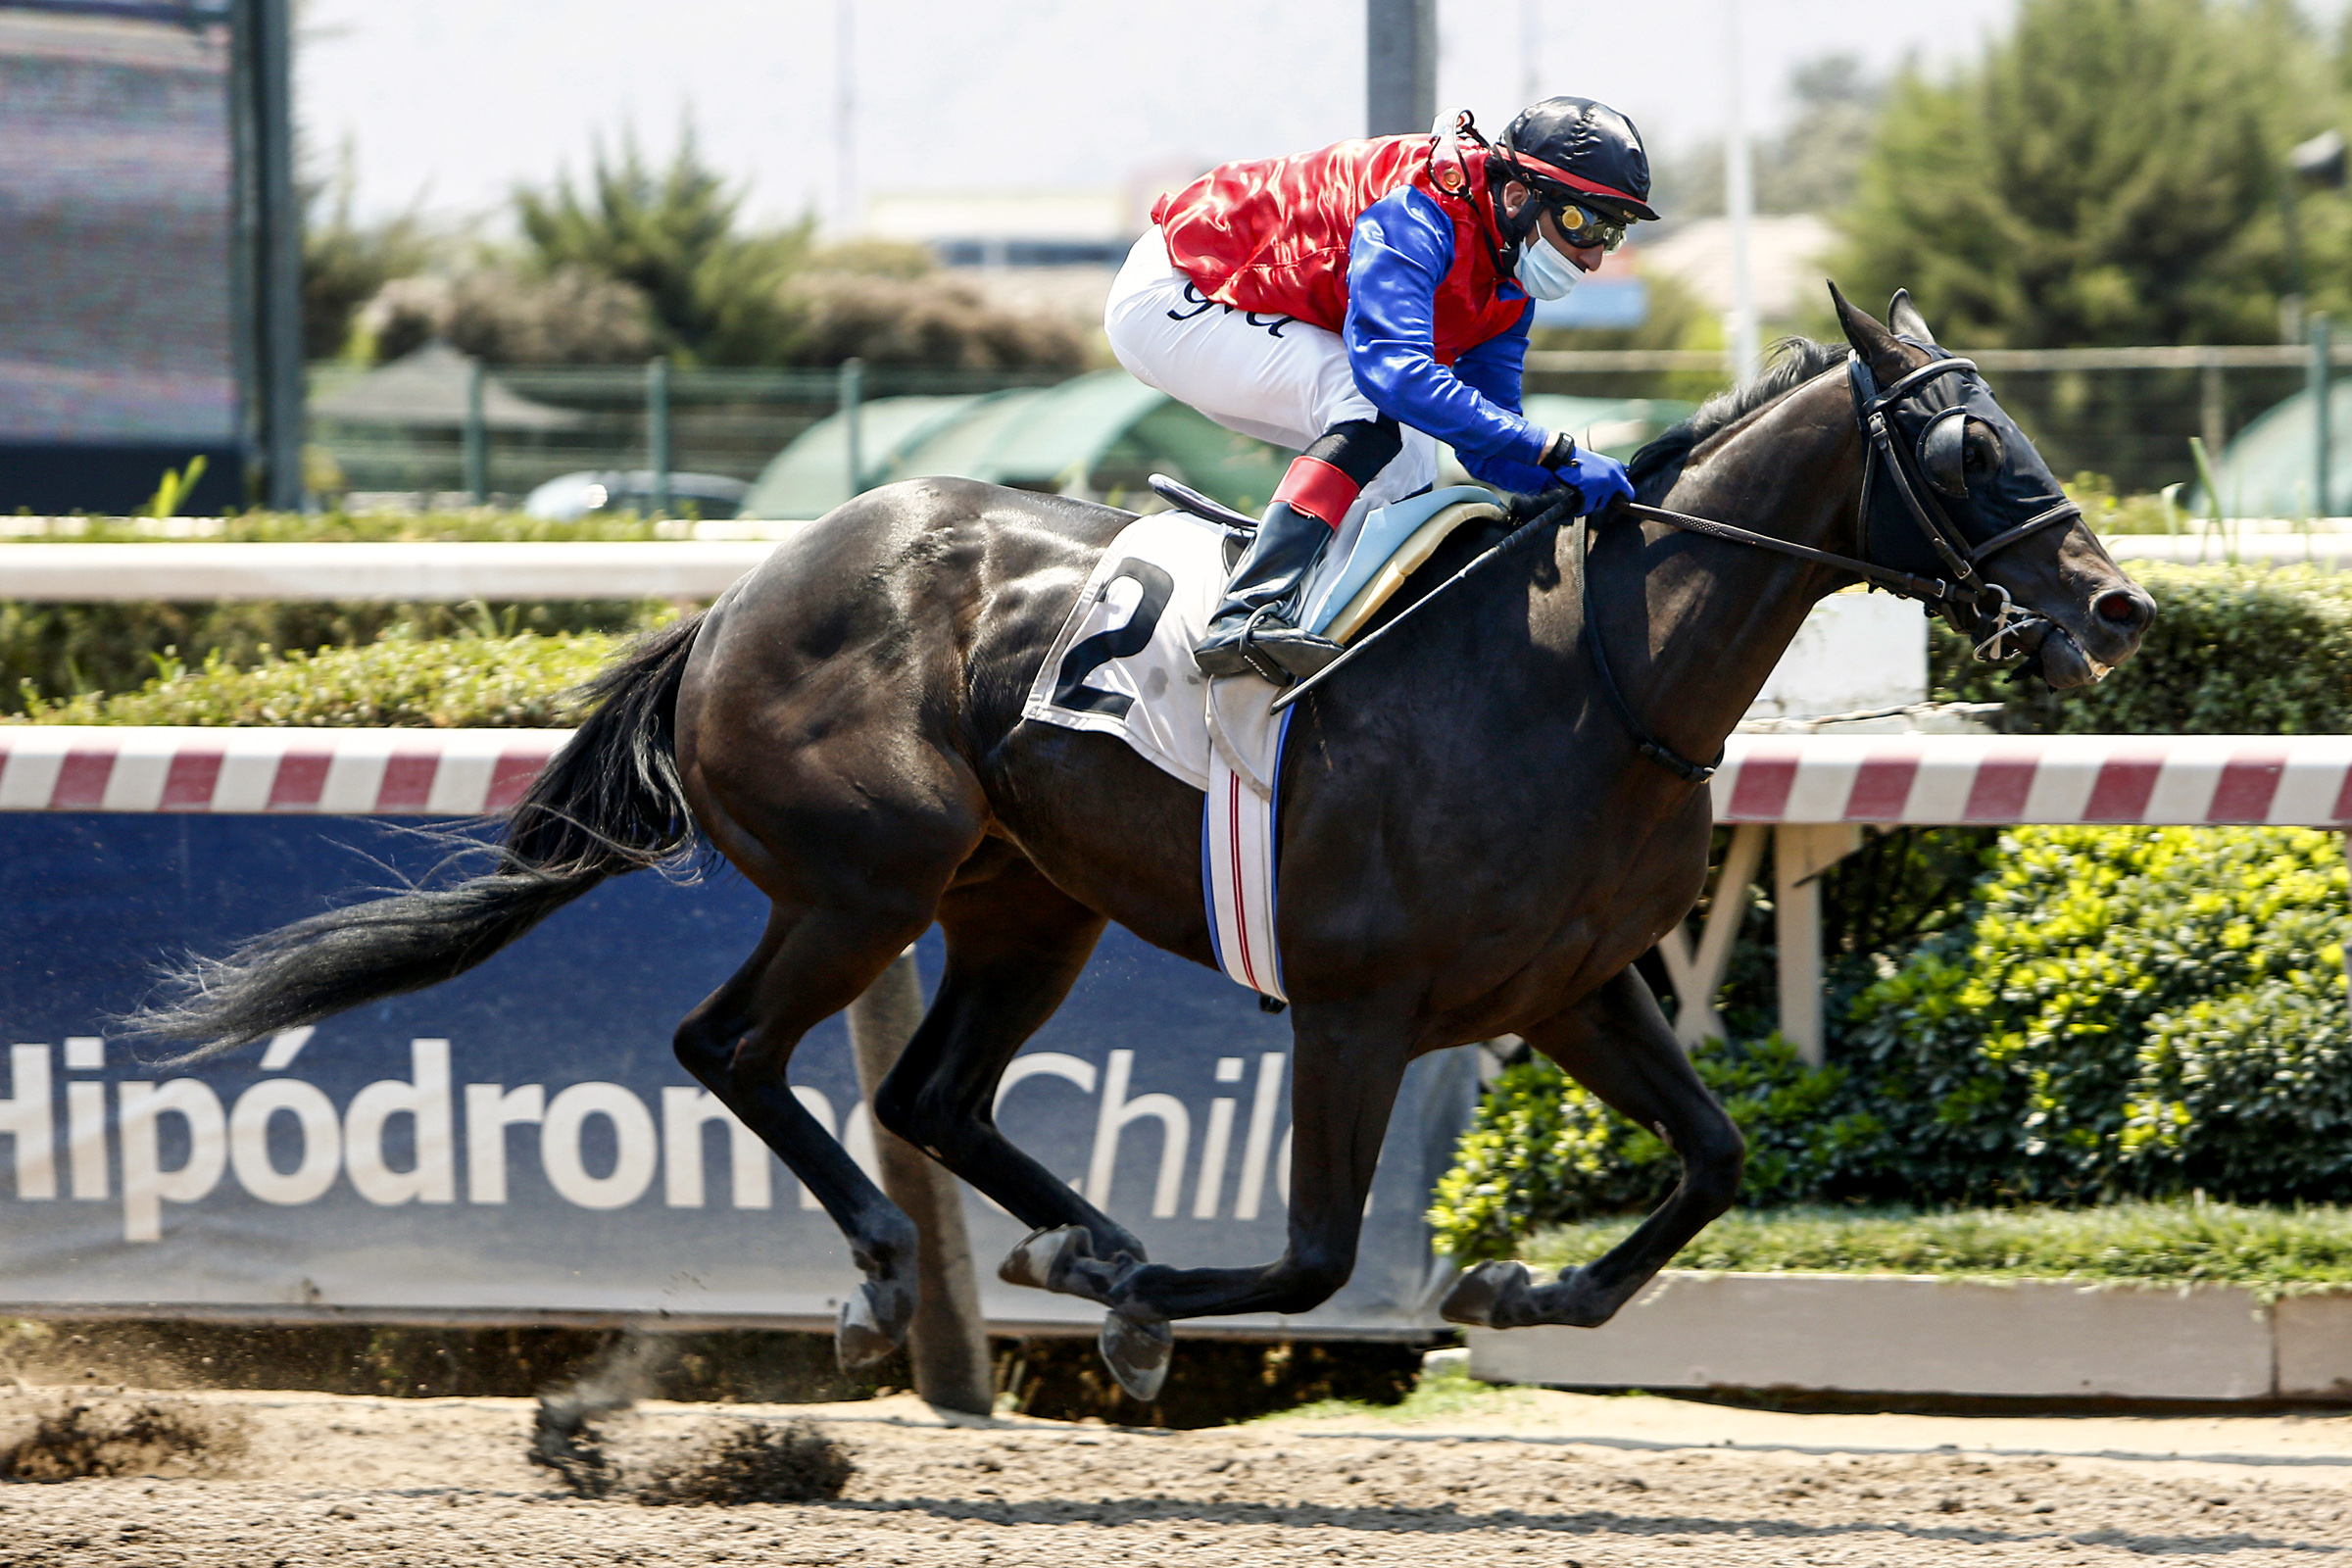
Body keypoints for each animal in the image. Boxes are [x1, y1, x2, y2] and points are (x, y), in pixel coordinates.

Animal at [134, 289, 2154, 1401]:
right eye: (1970, 447)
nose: (2116, 610)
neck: (1586, 675)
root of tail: (741, 595)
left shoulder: (1572, 988)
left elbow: (1714, 1161)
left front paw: (1516, 1285)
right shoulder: (1355, 1004)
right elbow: (1316, 1261)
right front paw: (1136, 1308)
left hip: (1027, 903)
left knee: (931, 1091)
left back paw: (1065, 1244)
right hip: (865, 877)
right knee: (739, 1050)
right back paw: (906, 1274)